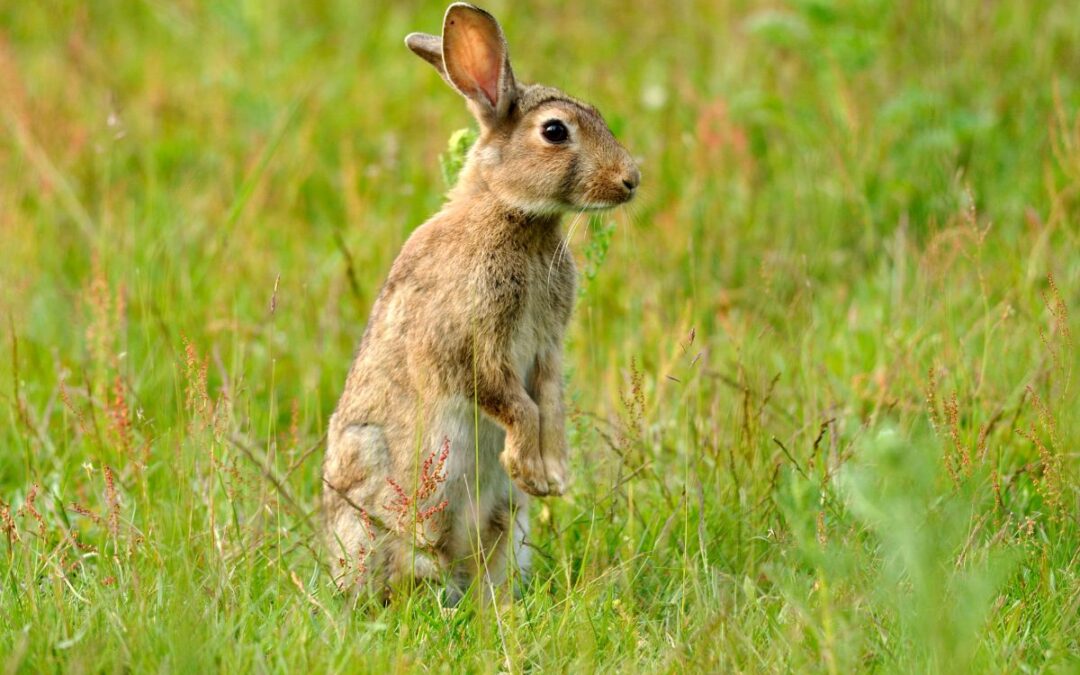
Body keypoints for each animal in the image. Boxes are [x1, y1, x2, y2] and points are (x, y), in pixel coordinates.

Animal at [319, 0, 639, 600]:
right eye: (555, 131)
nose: (631, 180)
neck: (511, 212)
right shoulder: (472, 342)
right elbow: (515, 402)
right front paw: (530, 467)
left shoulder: (547, 346)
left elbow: (549, 400)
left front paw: (551, 475)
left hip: (506, 524)